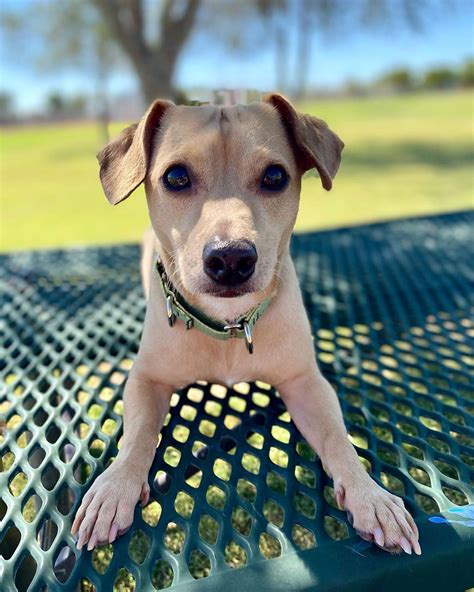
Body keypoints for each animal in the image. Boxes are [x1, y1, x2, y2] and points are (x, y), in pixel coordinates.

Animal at [72, 92, 420, 556]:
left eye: (275, 176)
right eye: (176, 176)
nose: (231, 258)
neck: (229, 327)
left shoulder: (306, 383)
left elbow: (337, 437)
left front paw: (371, 496)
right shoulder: (147, 379)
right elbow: (138, 435)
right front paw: (114, 488)